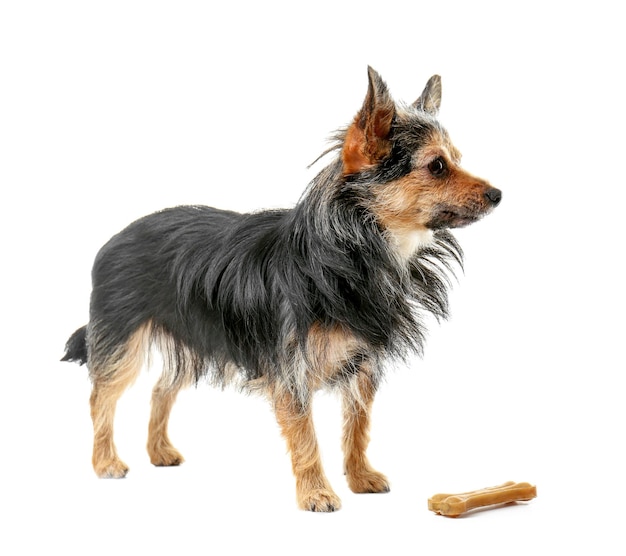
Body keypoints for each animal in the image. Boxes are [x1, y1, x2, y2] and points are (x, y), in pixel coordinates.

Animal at [62, 68, 502, 512]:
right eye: (437, 166)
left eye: (456, 159)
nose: (498, 194)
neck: (353, 251)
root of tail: (114, 239)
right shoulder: (291, 370)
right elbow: (306, 436)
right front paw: (316, 492)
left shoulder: (363, 366)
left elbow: (357, 424)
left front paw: (360, 477)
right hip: (122, 344)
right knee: (101, 398)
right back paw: (105, 461)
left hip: (194, 338)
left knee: (160, 389)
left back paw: (159, 451)